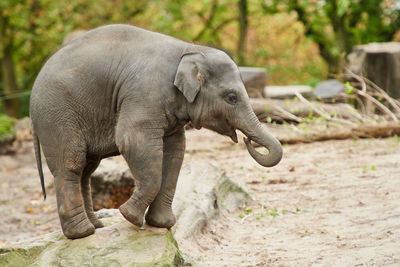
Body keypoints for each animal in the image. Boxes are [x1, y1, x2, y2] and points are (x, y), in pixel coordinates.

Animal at [29, 24, 282, 240]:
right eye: (231, 97)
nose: (247, 140)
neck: (189, 49)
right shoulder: (144, 94)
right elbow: (131, 139)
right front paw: (129, 217)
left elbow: (175, 152)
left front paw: (161, 224)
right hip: (57, 115)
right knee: (70, 165)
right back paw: (82, 233)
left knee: (86, 169)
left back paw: (96, 227)